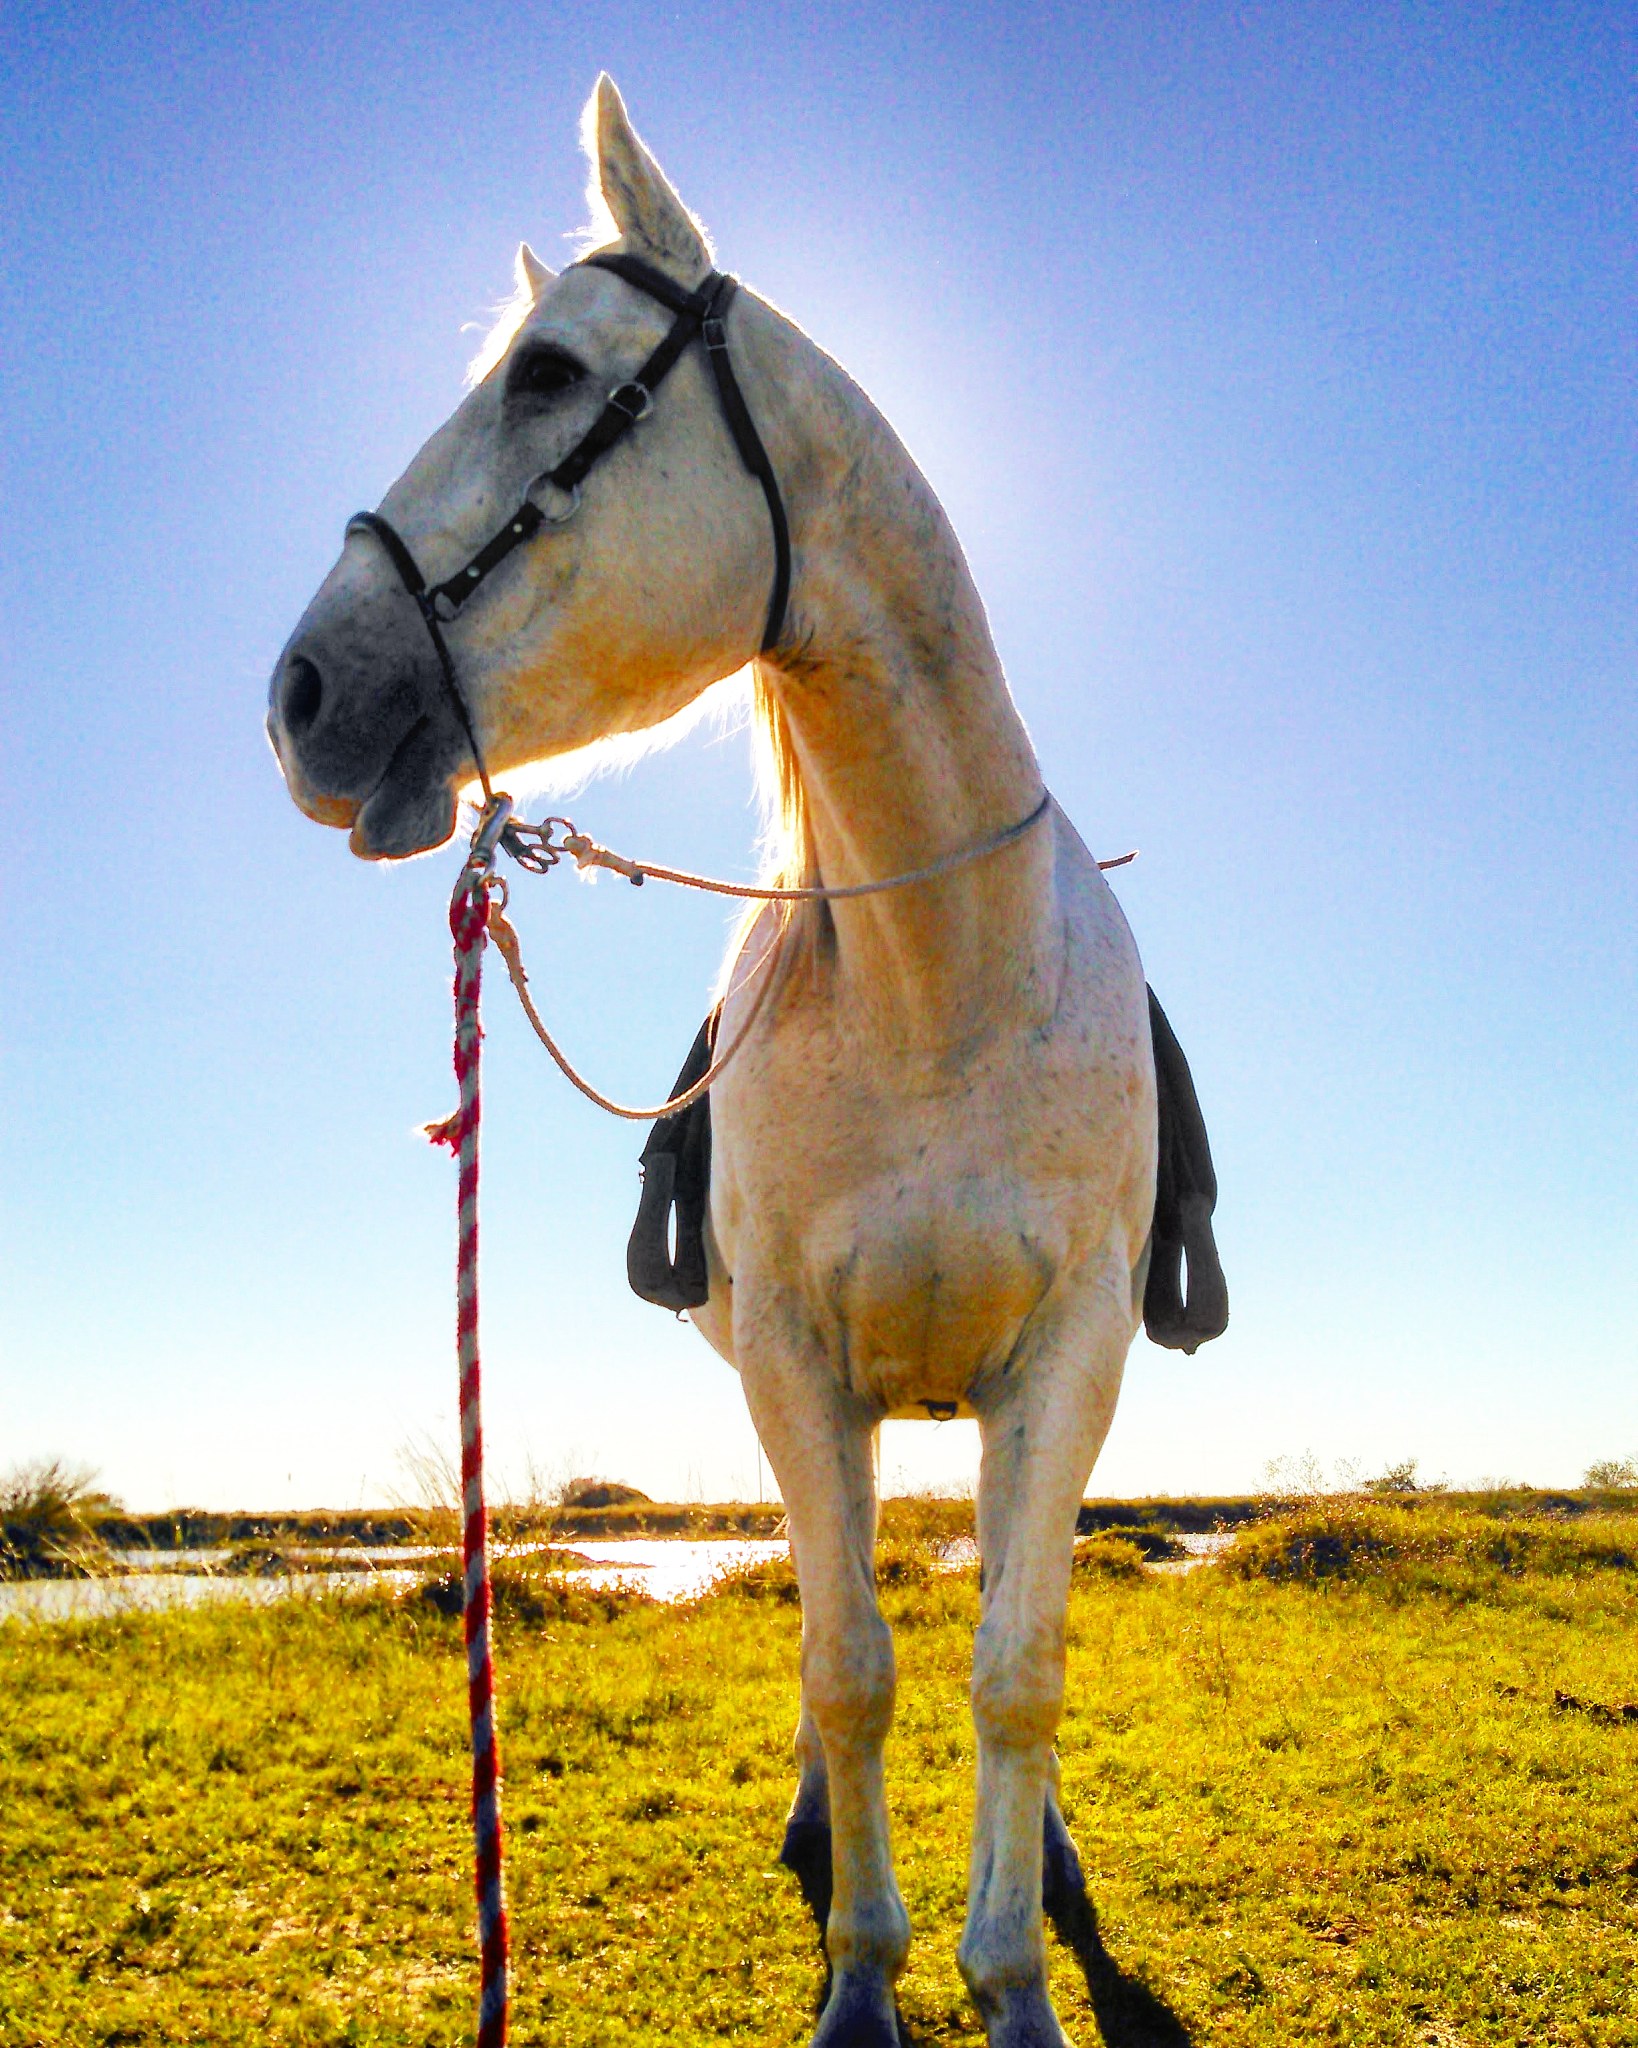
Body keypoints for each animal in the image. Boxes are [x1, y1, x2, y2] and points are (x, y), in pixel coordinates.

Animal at [268, 76, 1219, 2047]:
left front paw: (1012, 1968)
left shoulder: (1067, 1363)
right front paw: (863, 1971)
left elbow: (1015, 1665)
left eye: (548, 374)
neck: (941, 981)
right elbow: (849, 1660)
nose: (305, 695)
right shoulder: (792, 1364)